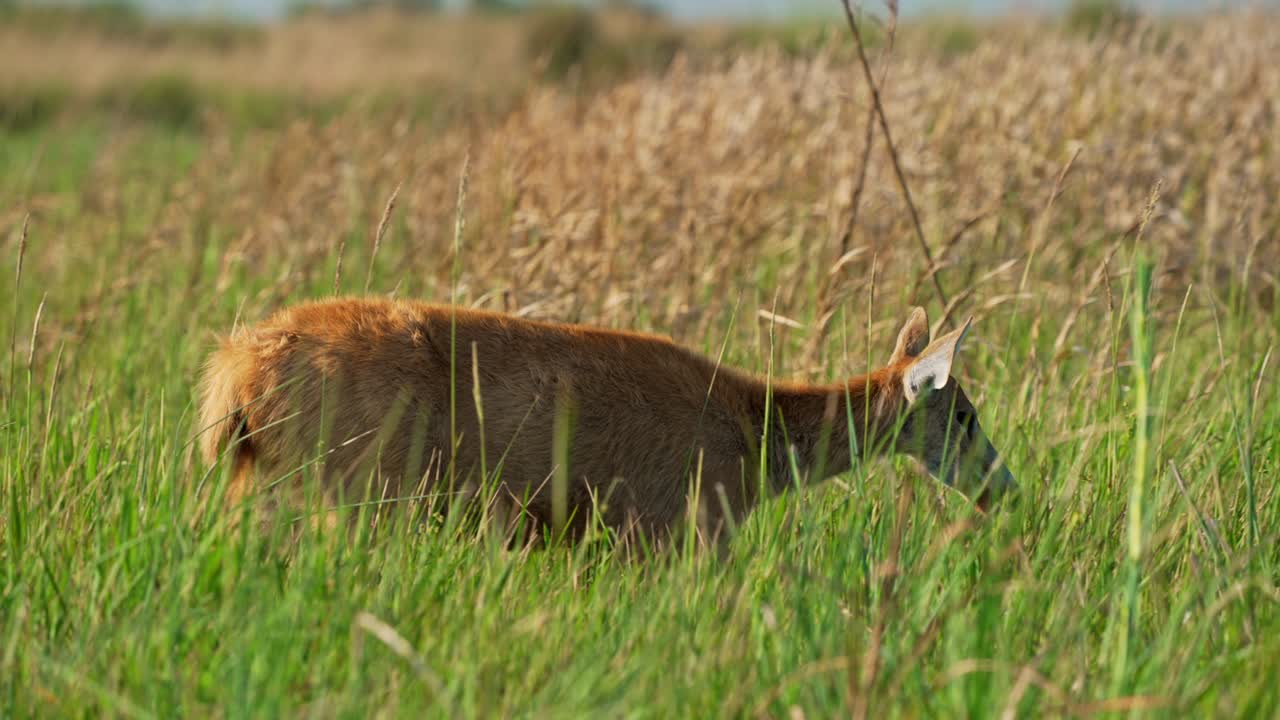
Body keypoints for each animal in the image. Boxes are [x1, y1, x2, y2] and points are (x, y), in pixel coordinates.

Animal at [198, 298, 1017, 544]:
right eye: (966, 414)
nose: (1005, 486)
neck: (753, 443)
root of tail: (236, 372)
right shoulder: (678, 530)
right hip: (355, 486)